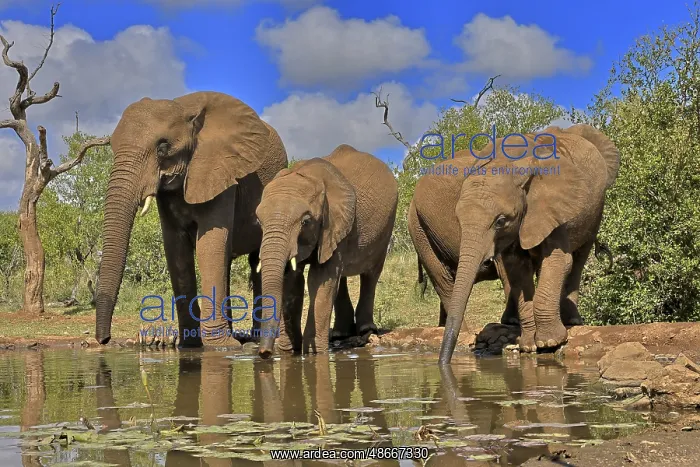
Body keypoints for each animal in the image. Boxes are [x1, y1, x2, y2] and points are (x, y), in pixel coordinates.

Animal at [94, 91, 287, 347]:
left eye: (163, 147)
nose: (104, 340)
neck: (183, 108)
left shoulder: (220, 170)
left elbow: (209, 245)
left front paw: (220, 347)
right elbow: (176, 250)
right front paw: (190, 346)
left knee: (256, 260)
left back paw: (254, 341)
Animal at [254, 144, 398, 358]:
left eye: (306, 222)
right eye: (259, 222)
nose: (264, 353)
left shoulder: (335, 224)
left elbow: (319, 280)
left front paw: (312, 354)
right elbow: (292, 282)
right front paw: (290, 352)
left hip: (386, 227)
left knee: (370, 274)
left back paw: (365, 331)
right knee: (341, 278)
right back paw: (340, 334)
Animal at [417, 124, 620, 364]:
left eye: (500, 221)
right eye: (458, 219)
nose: (443, 363)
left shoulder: (551, 206)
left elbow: (559, 260)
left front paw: (549, 342)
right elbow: (516, 268)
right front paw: (530, 345)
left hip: (595, 211)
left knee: (578, 258)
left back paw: (572, 322)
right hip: (420, 231)